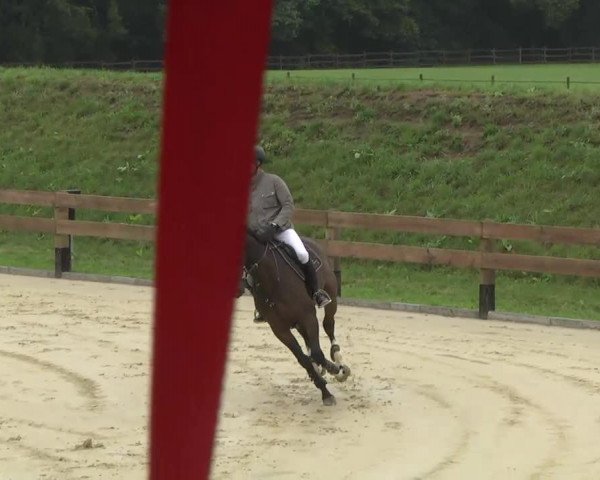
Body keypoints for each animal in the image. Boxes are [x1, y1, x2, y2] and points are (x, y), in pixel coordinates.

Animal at [240, 231, 352, 406]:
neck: (272, 278)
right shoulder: (279, 329)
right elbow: (304, 359)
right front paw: (324, 387)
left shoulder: (308, 317)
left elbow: (317, 353)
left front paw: (333, 371)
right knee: (310, 343)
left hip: (331, 295)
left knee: (328, 325)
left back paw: (338, 361)